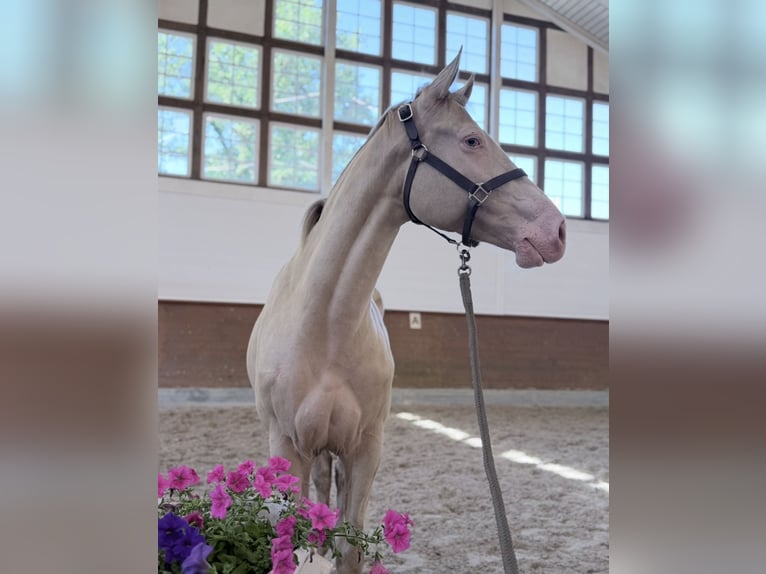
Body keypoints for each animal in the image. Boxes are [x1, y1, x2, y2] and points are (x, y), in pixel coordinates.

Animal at [246, 52, 566, 573]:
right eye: (472, 140)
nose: (556, 229)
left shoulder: (365, 449)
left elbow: (350, 547)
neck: (325, 326)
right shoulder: (287, 447)